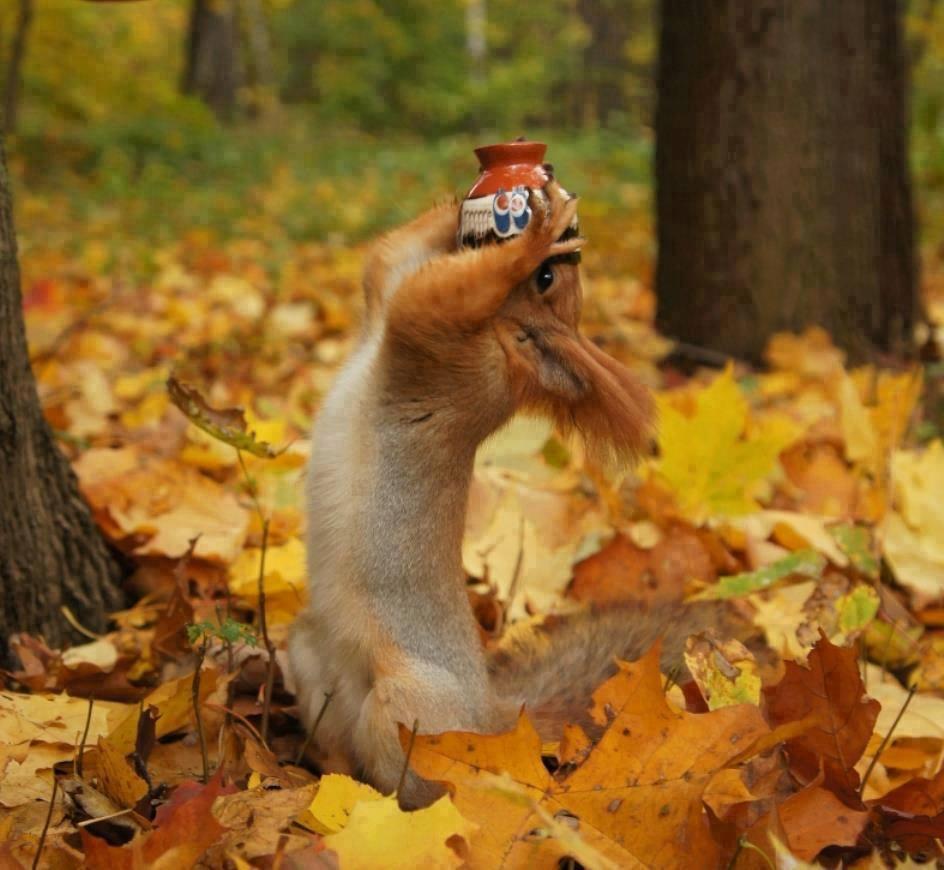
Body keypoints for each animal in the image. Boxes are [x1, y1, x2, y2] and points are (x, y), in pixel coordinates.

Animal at [292, 182, 732, 812]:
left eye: (545, 280)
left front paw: (529, 236)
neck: (503, 339)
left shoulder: (434, 337)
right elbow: (386, 254)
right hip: (306, 655)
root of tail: (494, 722)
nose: (562, 249)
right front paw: (482, 201)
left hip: (405, 709)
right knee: (335, 742)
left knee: (421, 780)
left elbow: (448, 293)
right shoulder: (394, 287)